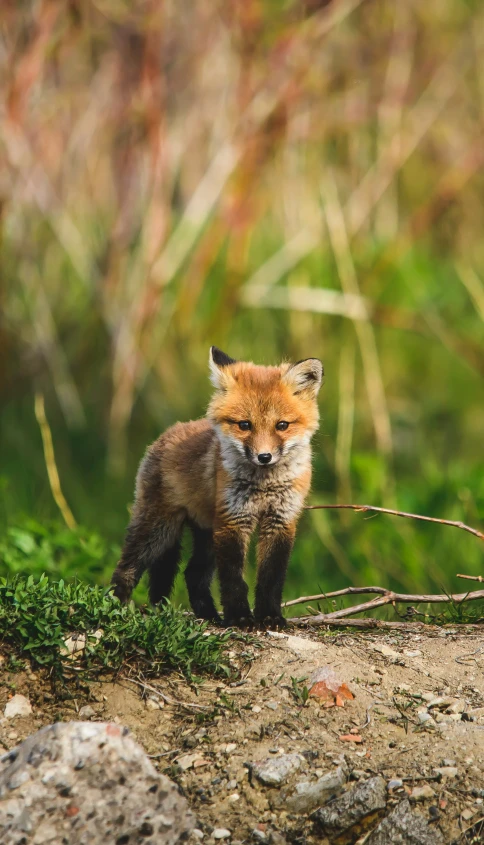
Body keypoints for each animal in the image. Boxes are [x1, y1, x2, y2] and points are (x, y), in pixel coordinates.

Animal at [110, 344, 324, 628]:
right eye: (245, 425)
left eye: (282, 425)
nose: (264, 457)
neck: (264, 485)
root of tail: (167, 433)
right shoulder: (233, 520)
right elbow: (233, 579)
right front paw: (240, 617)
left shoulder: (280, 521)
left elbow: (271, 579)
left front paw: (269, 616)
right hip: (160, 530)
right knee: (127, 566)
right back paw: (116, 606)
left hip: (206, 535)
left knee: (192, 574)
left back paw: (208, 615)